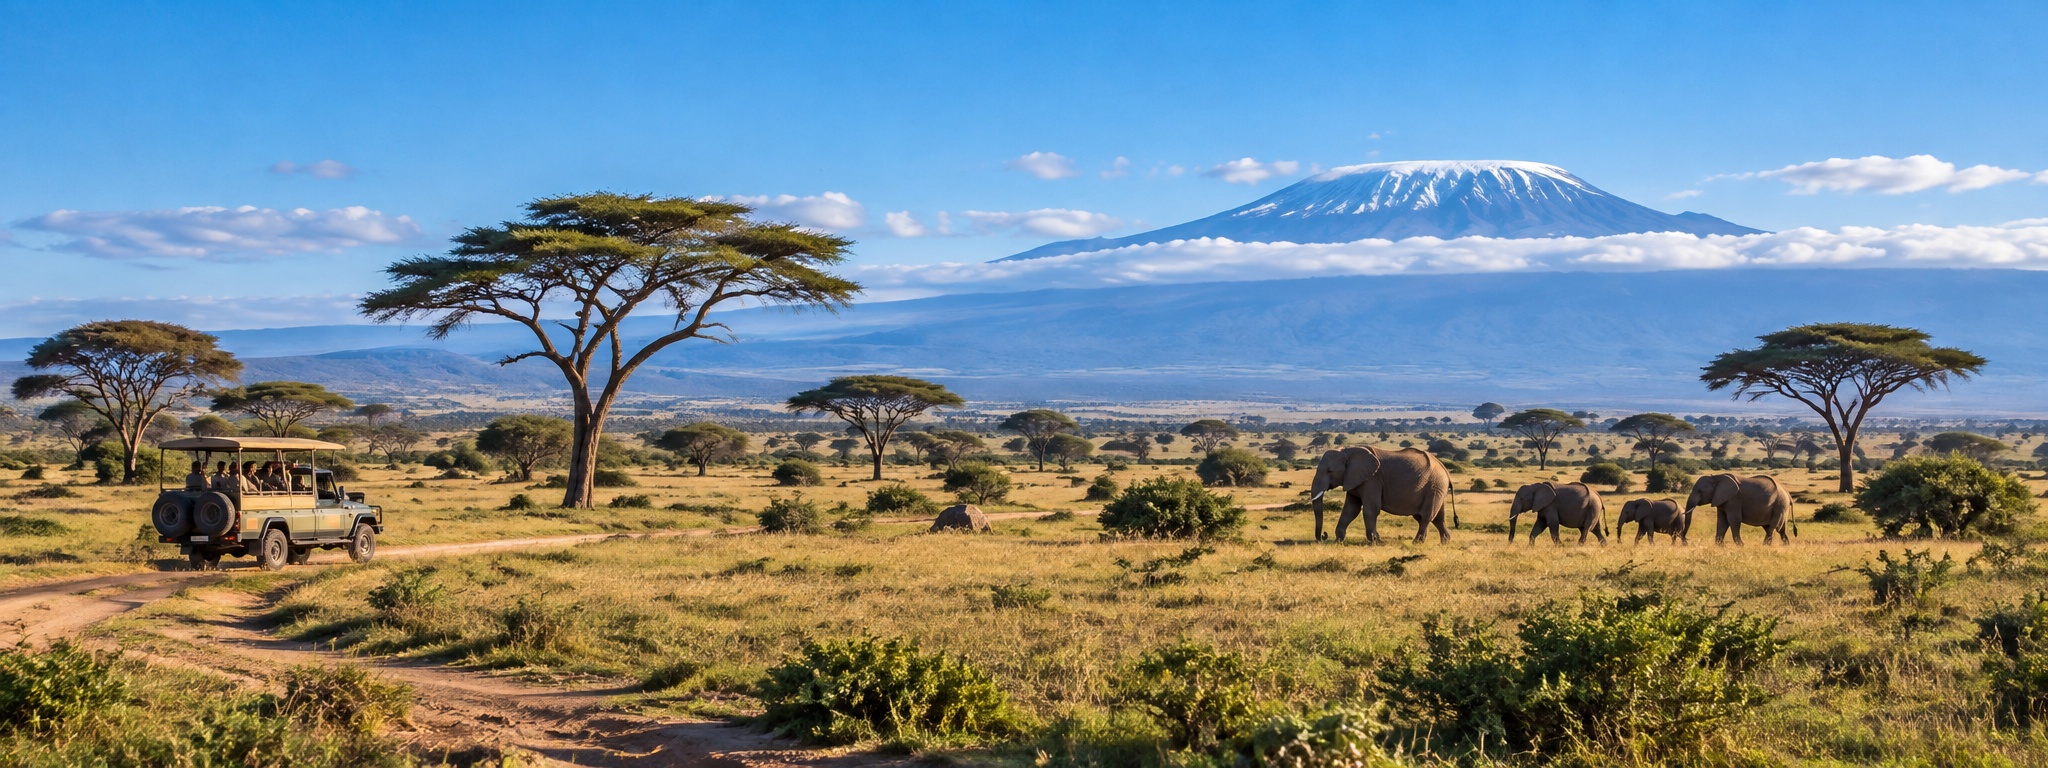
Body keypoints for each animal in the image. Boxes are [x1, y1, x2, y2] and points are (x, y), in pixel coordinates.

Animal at [1309, 446, 1453, 543]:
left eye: (1329, 471)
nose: (1323, 536)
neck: (1347, 451)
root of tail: (1444, 468)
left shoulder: (1372, 480)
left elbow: (1370, 510)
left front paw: (1375, 542)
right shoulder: (1353, 479)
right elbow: (1351, 510)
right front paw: (1339, 541)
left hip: (1434, 485)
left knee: (1425, 517)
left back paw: (1416, 543)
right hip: (1437, 488)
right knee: (1438, 518)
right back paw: (1444, 542)